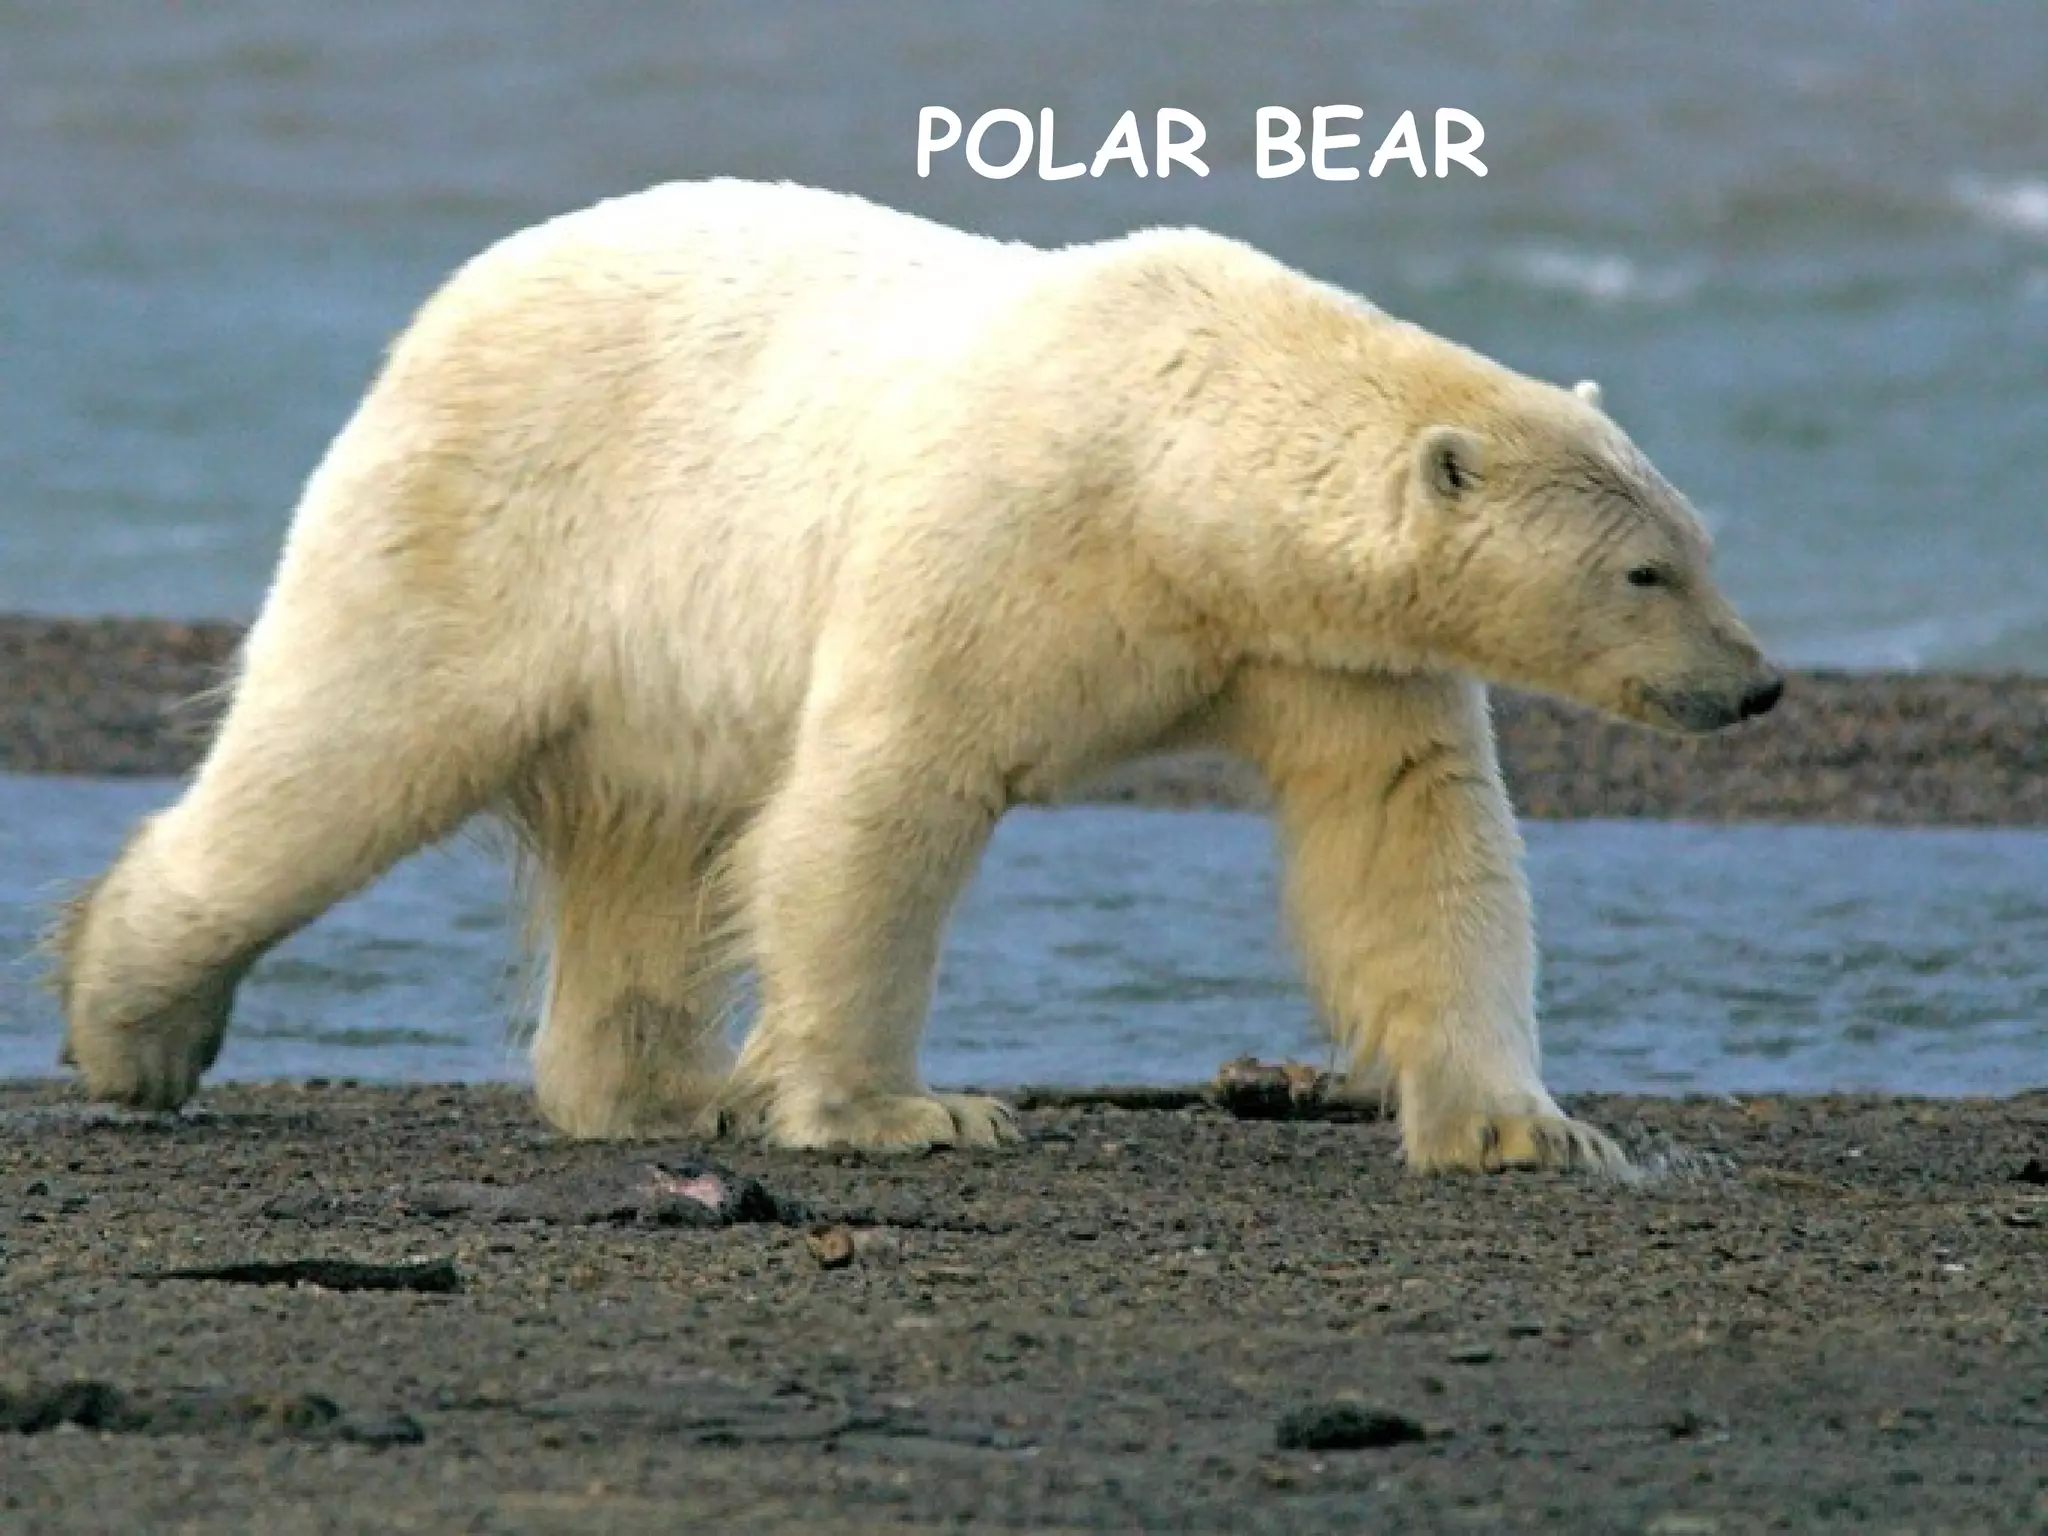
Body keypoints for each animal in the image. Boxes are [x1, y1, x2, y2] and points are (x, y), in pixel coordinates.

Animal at [50, 179, 1782, 1172]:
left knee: (648, 849)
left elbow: (1411, 830)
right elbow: (884, 798)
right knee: (337, 757)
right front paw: (903, 1110)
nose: (1757, 685)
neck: (1177, 463)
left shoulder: (1317, 642)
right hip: (491, 524)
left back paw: (658, 1092)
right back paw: (131, 1026)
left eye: (1705, 541)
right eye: (1647, 572)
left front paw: (1529, 1127)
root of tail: (447, 304)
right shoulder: (1007, 535)